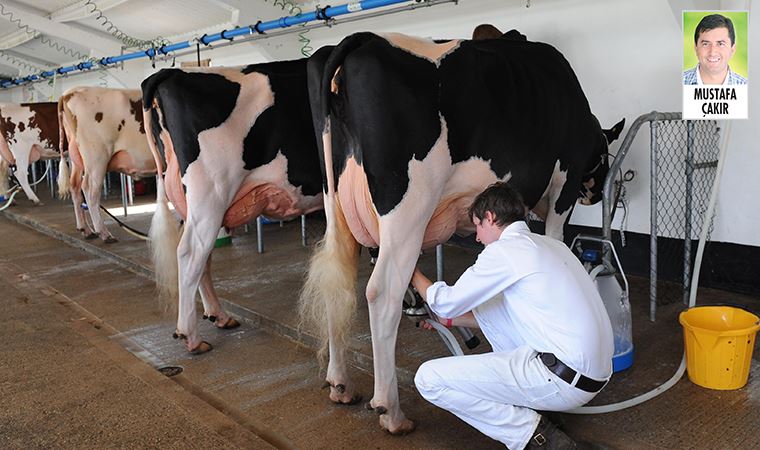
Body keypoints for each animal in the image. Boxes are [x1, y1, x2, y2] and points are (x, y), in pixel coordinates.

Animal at [58, 87, 157, 243]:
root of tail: (70, 92)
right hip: (97, 157)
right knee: (90, 189)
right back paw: (103, 233)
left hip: (77, 158)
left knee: (75, 186)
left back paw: (86, 229)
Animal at [142, 60, 324, 356]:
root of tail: (171, 72)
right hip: (211, 192)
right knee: (190, 252)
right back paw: (191, 336)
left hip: (193, 202)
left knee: (202, 256)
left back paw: (219, 315)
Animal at [298, 29, 624, 434]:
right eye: (603, 155)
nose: (599, 194)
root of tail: (362, 39)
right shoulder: (564, 184)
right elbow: (553, 238)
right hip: (407, 205)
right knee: (381, 292)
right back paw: (391, 411)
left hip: (336, 206)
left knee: (337, 282)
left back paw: (340, 383)